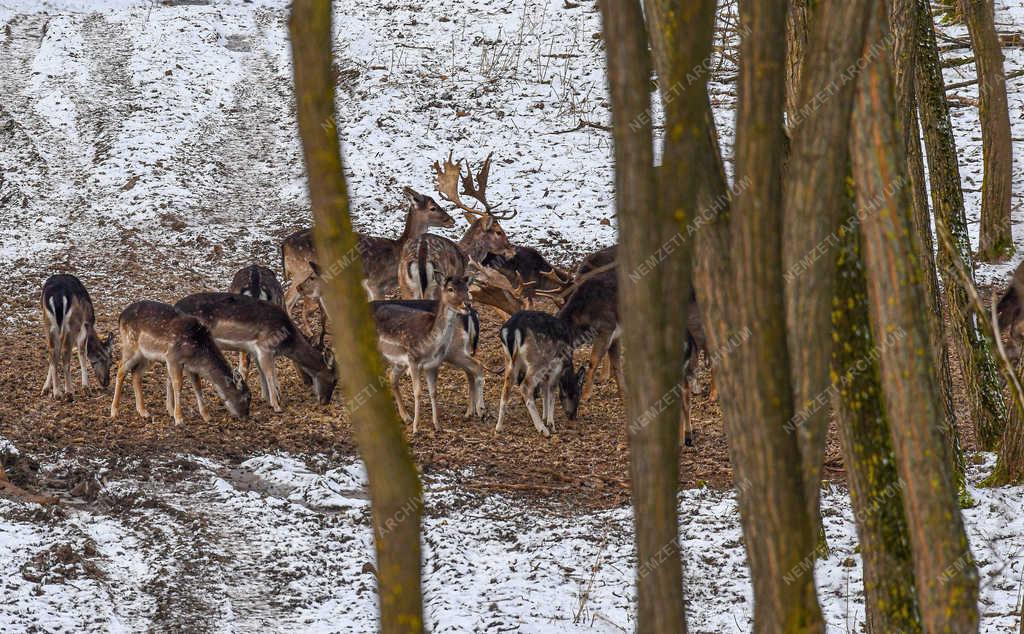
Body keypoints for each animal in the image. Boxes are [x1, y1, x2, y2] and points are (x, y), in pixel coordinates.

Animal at [109, 303, 250, 426]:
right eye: (246, 398)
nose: (246, 416)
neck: (198, 350)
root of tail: (121, 316)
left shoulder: (190, 366)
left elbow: (197, 386)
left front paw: (206, 416)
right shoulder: (173, 357)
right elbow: (178, 385)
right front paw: (179, 419)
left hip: (147, 355)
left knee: (136, 373)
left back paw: (143, 411)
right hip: (130, 345)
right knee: (121, 369)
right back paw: (114, 411)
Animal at [174, 292, 335, 411]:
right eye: (334, 378)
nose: (325, 401)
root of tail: (176, 306)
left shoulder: (257, 351)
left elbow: (264, 373)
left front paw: (268, 399)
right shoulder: (265, 347)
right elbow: (270, 374)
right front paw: (277, 406)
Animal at [374, 274, 473, 434]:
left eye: (467, 288)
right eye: (450, 289)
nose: (467, 304)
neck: (431, 345)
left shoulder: (433, 364)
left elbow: (433, 392)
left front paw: (437, 426)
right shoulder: (413, 359)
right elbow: (418, 392)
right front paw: (416, 428)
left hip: (398, 362)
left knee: (391, 377)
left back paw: (405, 417)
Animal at [493, 309, 589, 438]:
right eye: (577, 394)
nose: (573, 416)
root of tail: (513, 329)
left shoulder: (546, 374)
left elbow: (545, 391)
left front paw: (545, 417)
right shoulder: (556, 368)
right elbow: (552, 392)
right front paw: (551, 424)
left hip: (509, 360)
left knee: (505, 388)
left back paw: (498, 427)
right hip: (537, 361)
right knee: (525, 386)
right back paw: (543, 429)